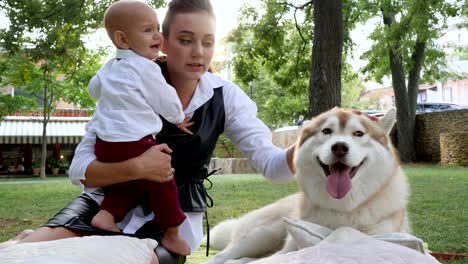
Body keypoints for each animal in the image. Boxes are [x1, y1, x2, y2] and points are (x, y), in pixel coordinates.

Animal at [207, 108, 410, 264]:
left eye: (358, 134)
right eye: (326, 131)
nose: (339, 147)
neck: (341, 210)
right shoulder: (287, 249)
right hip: (263, 234)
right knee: (223, 257)